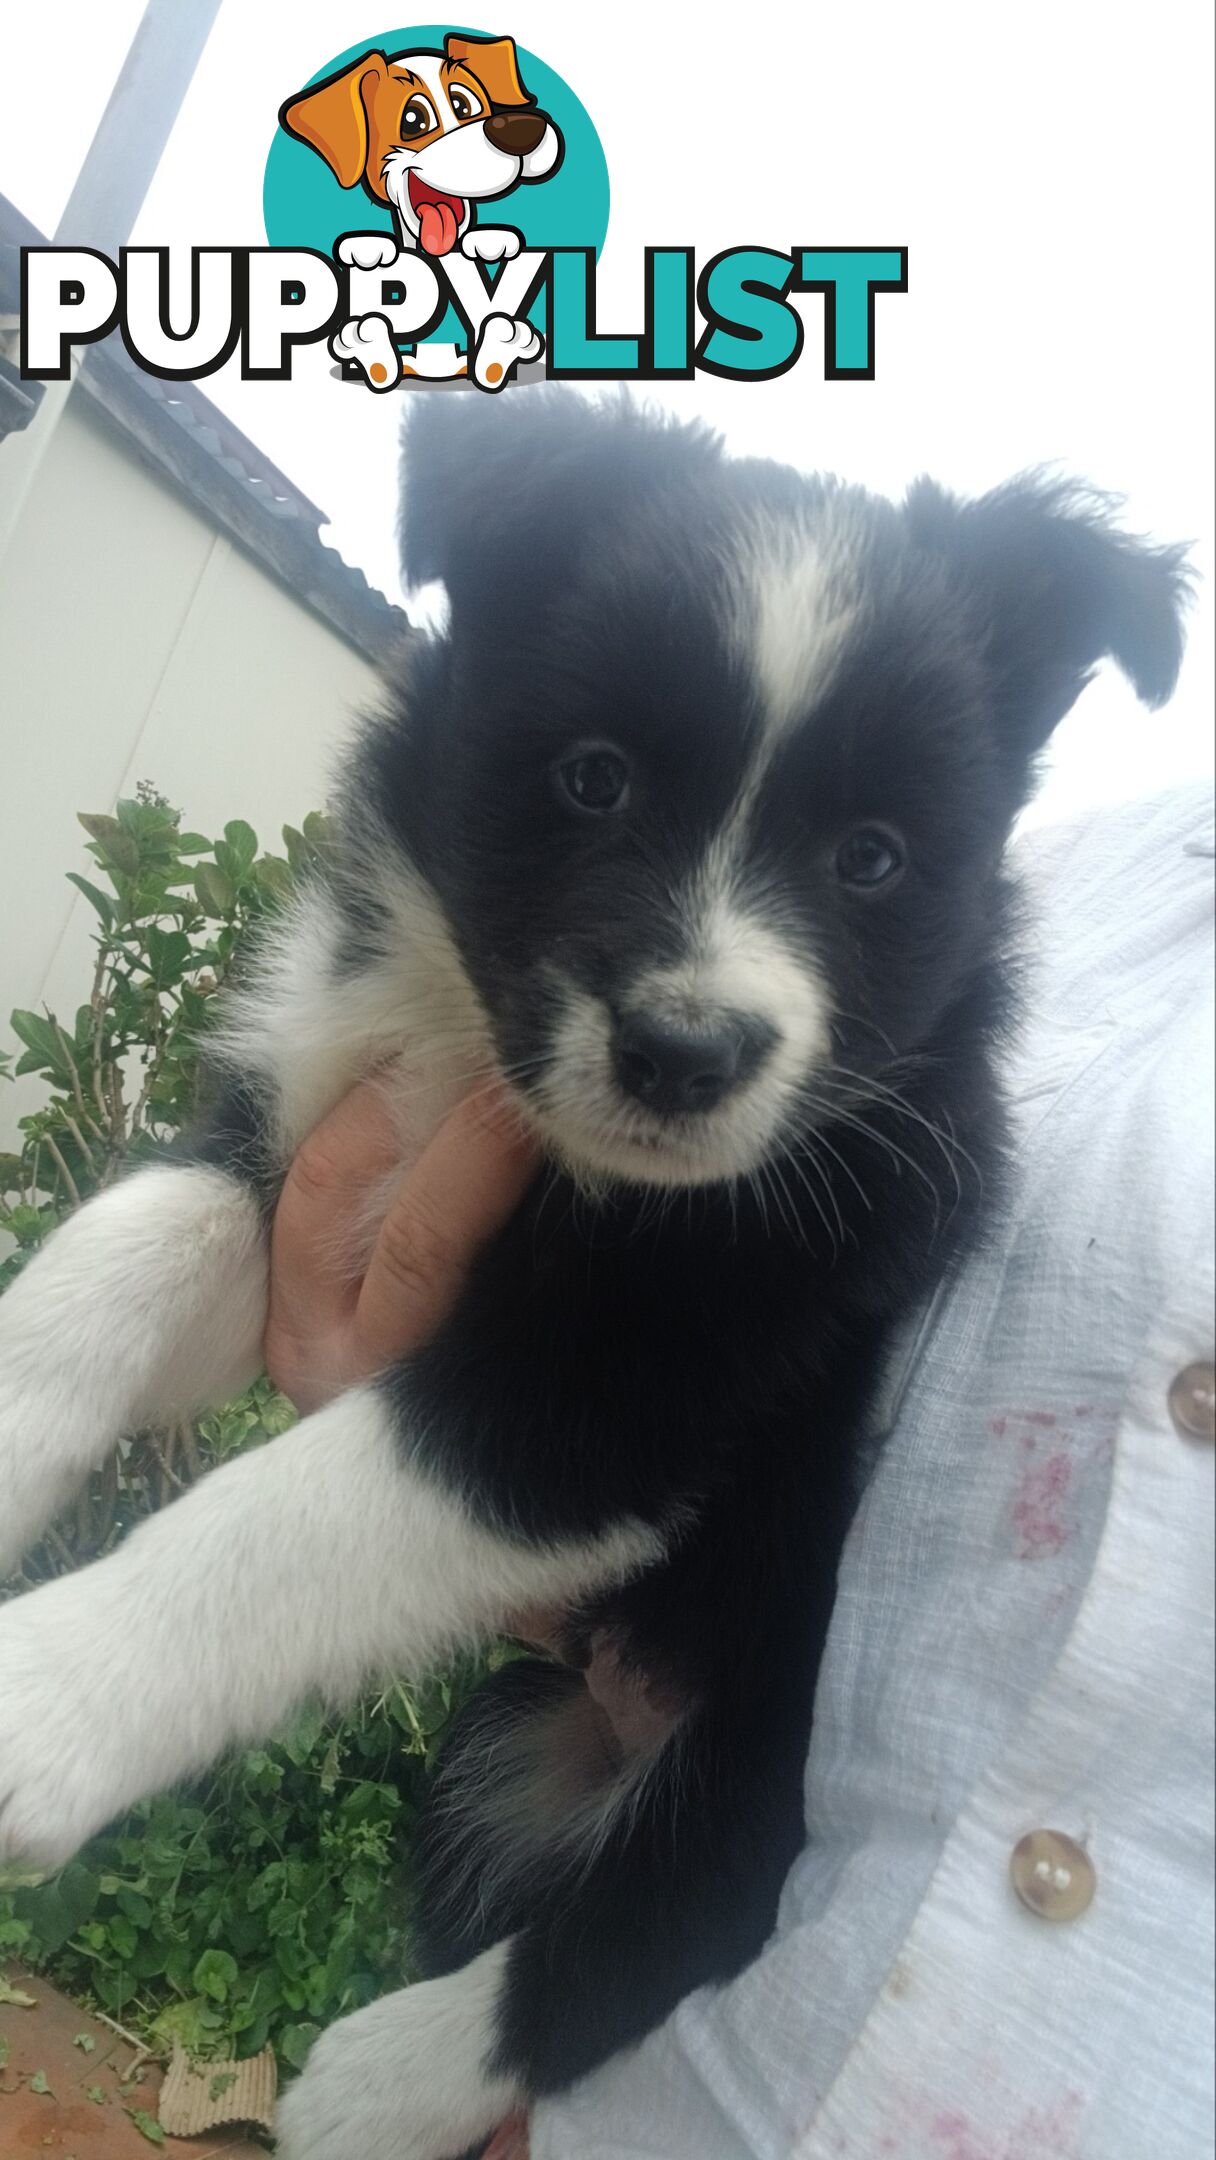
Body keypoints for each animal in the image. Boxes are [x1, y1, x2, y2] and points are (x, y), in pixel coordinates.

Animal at [0, 393, 1192, 2160]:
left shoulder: (636, 1372)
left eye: (874, 858)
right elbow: (120, 1248)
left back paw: (383, 2077)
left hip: (786, 1697)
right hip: (503, 1728)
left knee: (698, 1903)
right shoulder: (303, 1144)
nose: (689, 1053)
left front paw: (44, 1699)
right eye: (593, 777)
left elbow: (280, 1514)